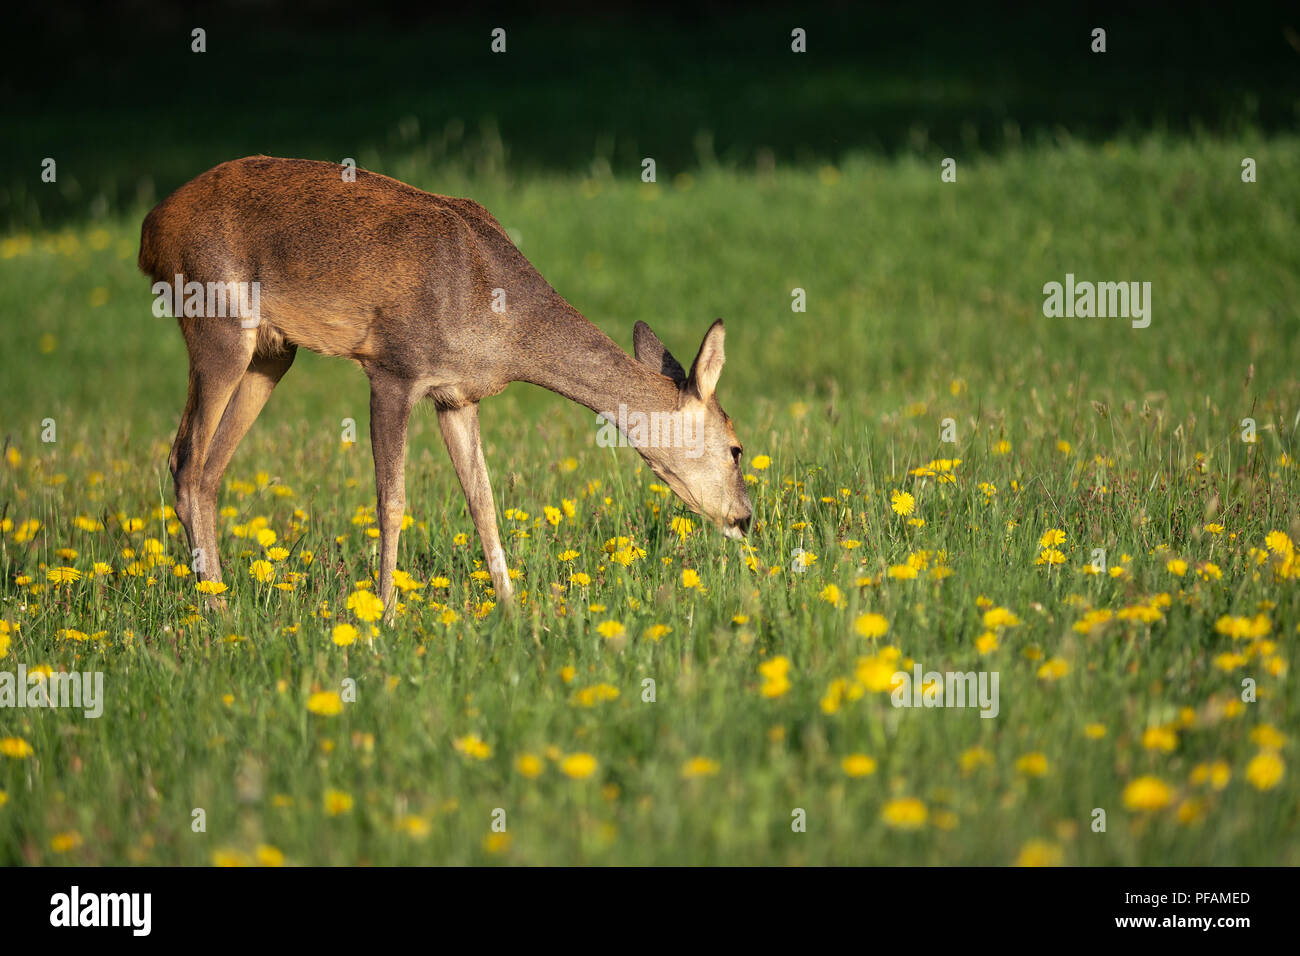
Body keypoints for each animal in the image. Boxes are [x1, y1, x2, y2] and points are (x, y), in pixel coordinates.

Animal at [138, 156, 752, 615]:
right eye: (737, 448)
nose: (745, 518)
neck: (500, 321)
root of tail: (150, 229)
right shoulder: (392, 368)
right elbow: (391, 501)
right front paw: (383, 615)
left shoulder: (458, 396)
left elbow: (483, 500)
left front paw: (512, 608)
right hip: (215, 319)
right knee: (185, 458)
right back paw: (215, 610)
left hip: (272, 351)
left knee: (210, 468)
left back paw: (219, 598)